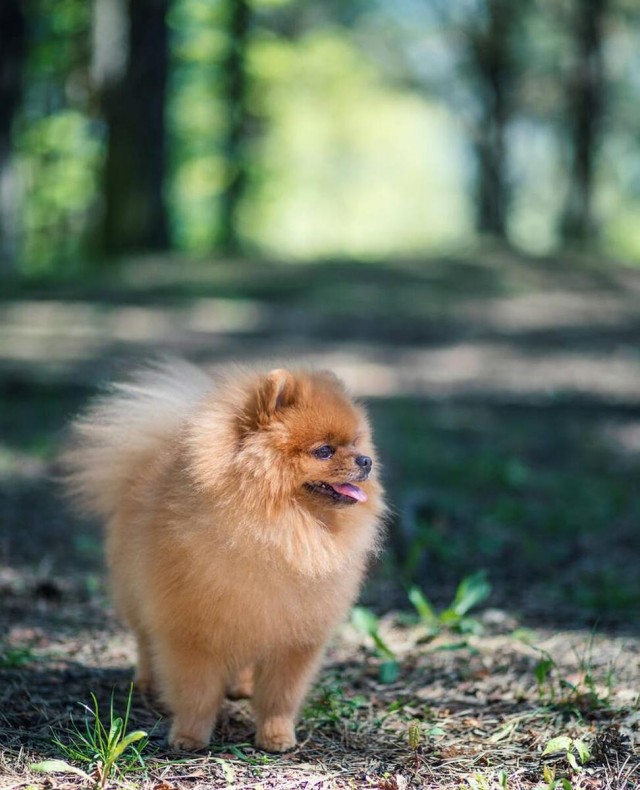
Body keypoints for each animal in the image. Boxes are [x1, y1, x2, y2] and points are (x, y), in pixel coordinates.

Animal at [63, 362, 384, 752]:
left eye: (355, 443)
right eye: (324, 451)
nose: (366, 460)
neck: (280, 531)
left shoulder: (294, 638)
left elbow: (280, 696)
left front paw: (276, 736)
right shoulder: (192, 632)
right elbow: (196, 693)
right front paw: (189, 736)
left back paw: (242, 687)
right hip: (135, 596)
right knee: (143, 641)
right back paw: (147, 681)